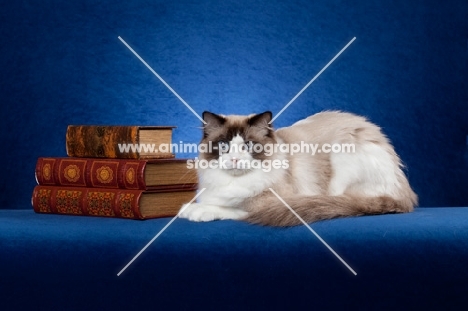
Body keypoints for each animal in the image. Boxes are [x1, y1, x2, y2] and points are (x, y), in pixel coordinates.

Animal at [179, 111, 416, 227]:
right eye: (223, 145)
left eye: (248, 145)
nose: (235, 159)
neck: (233, 182)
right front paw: (188, 210)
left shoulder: (272, 203)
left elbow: (230, 208)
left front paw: (198, 212)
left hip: (341, 160)